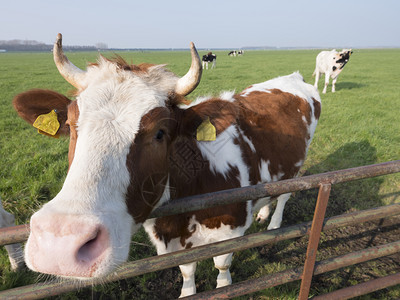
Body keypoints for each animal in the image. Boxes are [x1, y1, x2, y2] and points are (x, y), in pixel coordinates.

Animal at [12, 33, 322, 298]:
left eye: (160, 133)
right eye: (71, 124)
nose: (60, 243)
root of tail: (292, 78)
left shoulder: (231, 232)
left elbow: (222, 265)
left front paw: (224, 286)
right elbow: (186, 269)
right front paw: (187, 291)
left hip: (297, 166)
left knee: (285, 195)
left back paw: (274, 223)